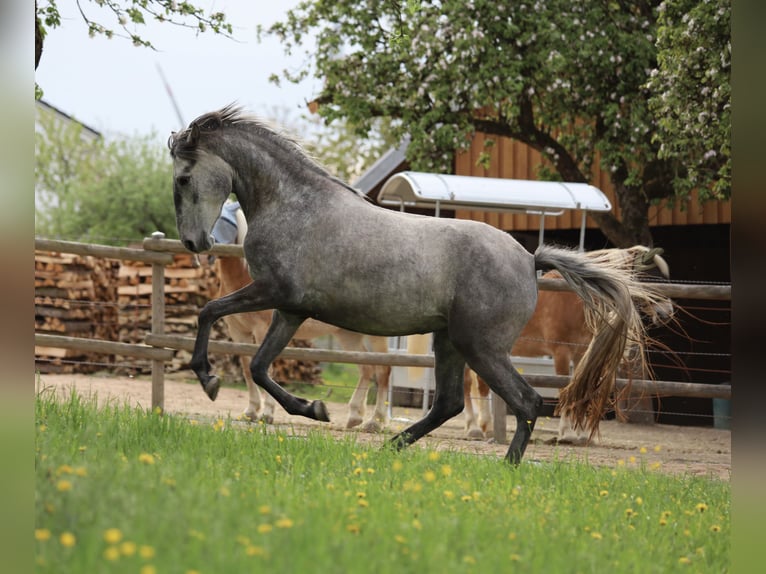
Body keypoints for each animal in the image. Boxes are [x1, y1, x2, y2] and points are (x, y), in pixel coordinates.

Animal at [209, 202, 391, 431]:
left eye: (228, 222)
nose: (209, 249)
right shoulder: (237, 332)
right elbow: (246, 368)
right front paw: (251, 411)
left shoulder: (262, 330)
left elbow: (268, 369)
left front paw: (267, 414)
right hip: (348, 336)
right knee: (366, 369)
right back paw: (354, 418)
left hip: (375, 337)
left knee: (383, 370)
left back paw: (376, 422)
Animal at [461, 246, 673, 444]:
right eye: (653, 276)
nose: (668, 312)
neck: (573, 301)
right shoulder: (561, 352)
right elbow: (563, 386)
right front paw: (567, 433)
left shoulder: (581, 353)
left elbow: (582, 388)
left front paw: (582, 435)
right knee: (470, 384)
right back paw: (476, 428)